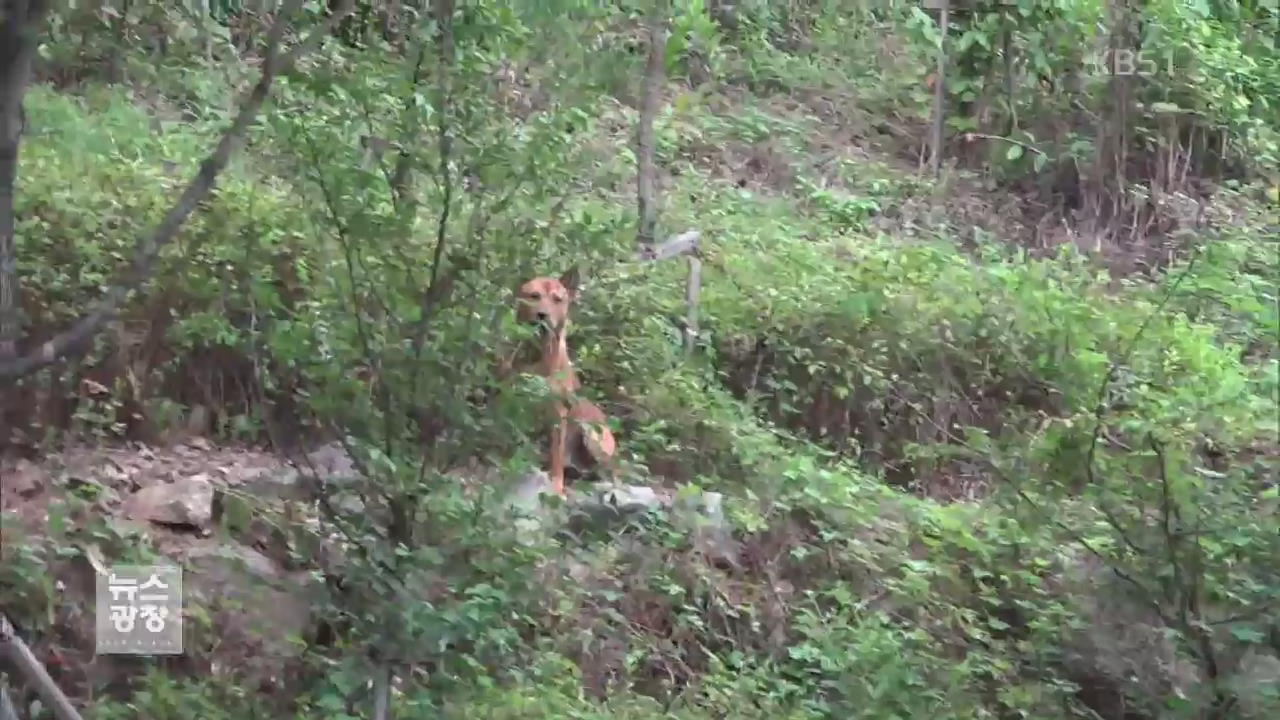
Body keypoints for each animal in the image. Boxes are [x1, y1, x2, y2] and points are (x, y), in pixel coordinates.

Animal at [499, 269, 614, 491]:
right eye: (534, 296)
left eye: (557, 299)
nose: (542, 315)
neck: (538, 354)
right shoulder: (509, 398)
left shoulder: (557, 414)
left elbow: (557, 454)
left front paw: (557, 486)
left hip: (592, 433)